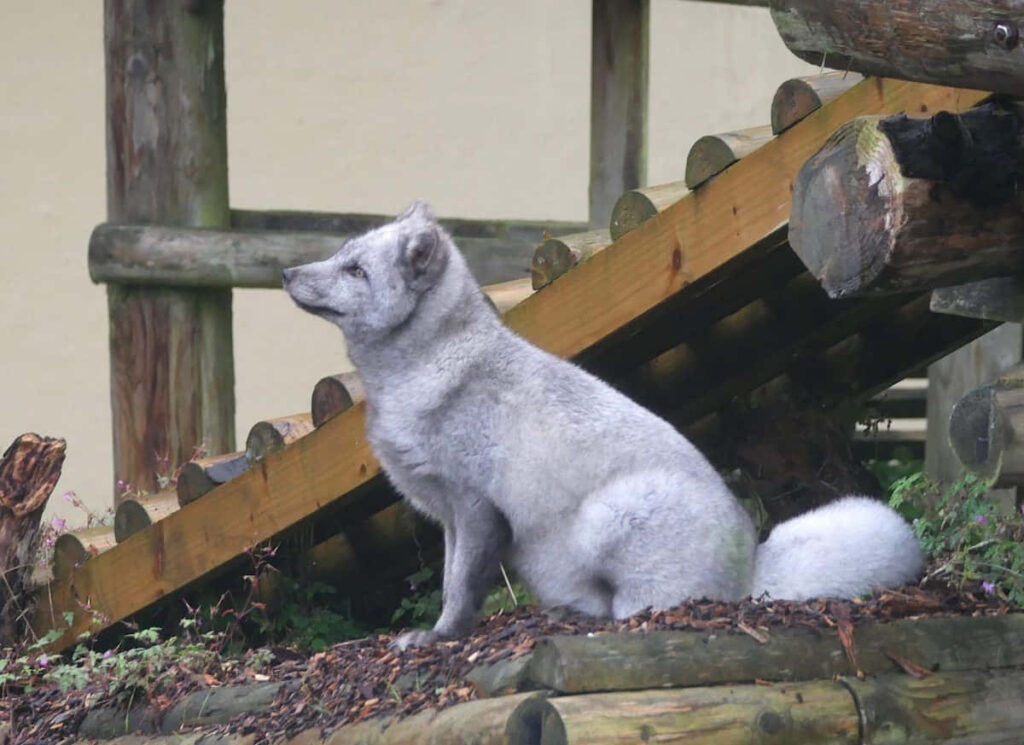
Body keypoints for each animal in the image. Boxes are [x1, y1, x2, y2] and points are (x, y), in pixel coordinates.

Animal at [283, 200, 924, 649]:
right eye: (341, 254)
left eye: (355, 270)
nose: (288, 272)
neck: (424, 367)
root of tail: (754, 567)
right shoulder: (446, 518)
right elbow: (447, 580)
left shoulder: (476, 507)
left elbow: (461, 589)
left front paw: (439, 637)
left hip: (605, 517)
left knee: (637, 610)